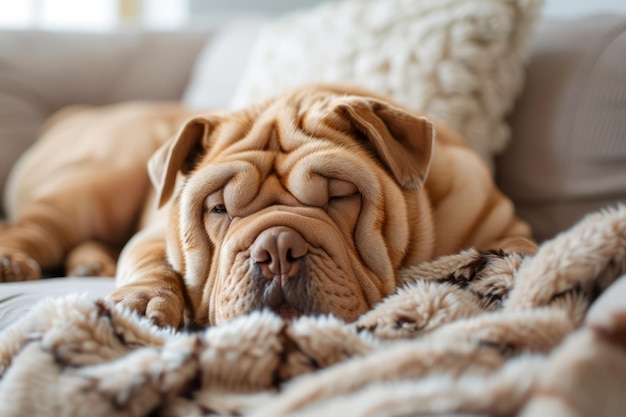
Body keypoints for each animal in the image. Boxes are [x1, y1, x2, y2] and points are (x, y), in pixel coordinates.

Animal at [1, 85, 536, 328]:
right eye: (217, 208)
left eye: (340, 196)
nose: (277, 247)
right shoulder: (154, 234)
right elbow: (153, 264)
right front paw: (139, 302)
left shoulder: (499, 221)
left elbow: (516, 247)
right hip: (101, 181)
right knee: (40, 222)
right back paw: (16, 260)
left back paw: (89, 262)